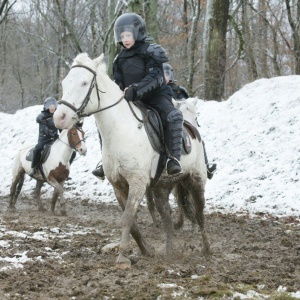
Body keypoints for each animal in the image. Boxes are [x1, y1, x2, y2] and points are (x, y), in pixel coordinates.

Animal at [52, 52, 210, 268]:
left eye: (84, 83)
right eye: (65, 82)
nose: (59, 118)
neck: (119, 129)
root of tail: (192, 130)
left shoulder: (137, 182)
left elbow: (127, 218)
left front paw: (121, 258)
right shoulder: (118, 185)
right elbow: (132, 222)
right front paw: (146, 251)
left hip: (195, 181)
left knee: (200, 214)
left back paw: (207, 249)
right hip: (161, 188)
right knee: (168, 219)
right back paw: (169, 253)